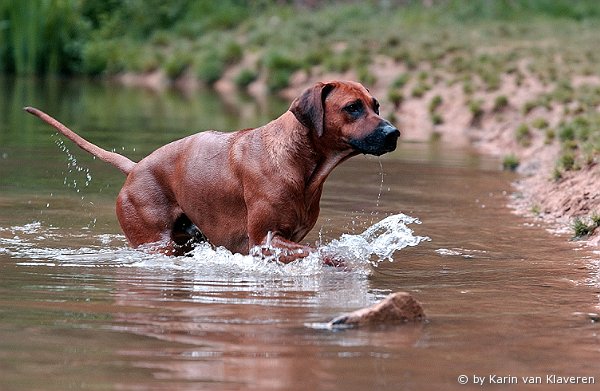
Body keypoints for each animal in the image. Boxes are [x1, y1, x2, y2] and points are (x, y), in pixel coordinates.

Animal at [24, 79, 398, 264]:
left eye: (376, 106)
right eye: (352, 108)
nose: (393, 133)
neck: (301, 163)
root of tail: (136, 166)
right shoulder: (265, 241)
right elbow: (318, 253)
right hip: (154, 241)